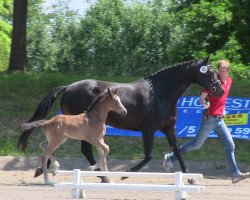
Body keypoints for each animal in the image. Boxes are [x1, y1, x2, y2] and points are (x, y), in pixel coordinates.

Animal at [18, 55, 224, 181]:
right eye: (210, 72)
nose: (220, 90)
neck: (160, 93)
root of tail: (68, 87)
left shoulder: (168, 128)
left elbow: (178, 151)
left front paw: (189, 178)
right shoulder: (148, 130)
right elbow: (148, 156)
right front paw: (126, 174)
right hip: (78, 126)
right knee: (82, 149)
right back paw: (98, 175)